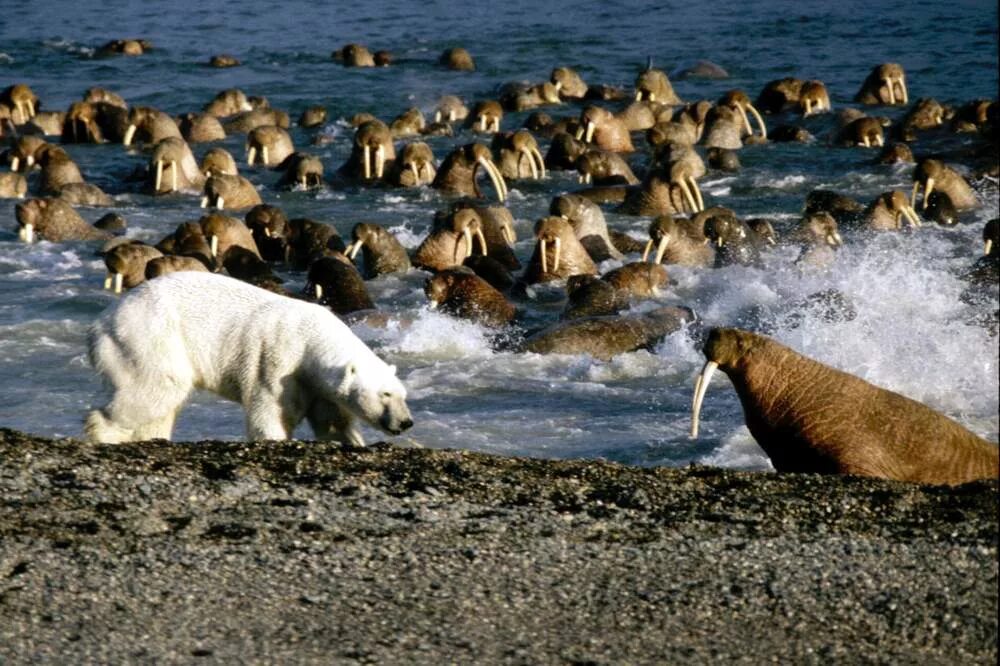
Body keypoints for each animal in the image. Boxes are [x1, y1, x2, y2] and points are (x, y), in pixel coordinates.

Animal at [86, 268, 412, 444]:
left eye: (402, 394)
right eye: (385, 394)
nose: (406, 422)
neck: (311, 338)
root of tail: (100, 322)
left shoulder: (318, 386)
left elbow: (333, 423)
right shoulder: (279, 361)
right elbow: (270, 412)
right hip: (148, 337)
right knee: (158, 387)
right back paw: (105, 433)